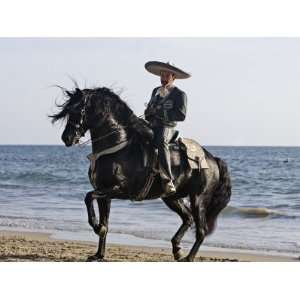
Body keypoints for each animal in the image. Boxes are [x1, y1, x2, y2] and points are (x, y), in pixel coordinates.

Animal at [49, 85, 232, 262]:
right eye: (67, 110)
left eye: (78, 110)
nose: (66, 138)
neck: (118, 147)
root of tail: (212, 159)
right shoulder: (104, 194)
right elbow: (104, 221)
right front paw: (98, 254)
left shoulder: (120, 189)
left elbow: (88, 197)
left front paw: (97, 228)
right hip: (172, 198)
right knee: (188, 218)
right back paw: (177, 250)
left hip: (198, 199)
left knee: (201, 230)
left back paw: (188, 257)